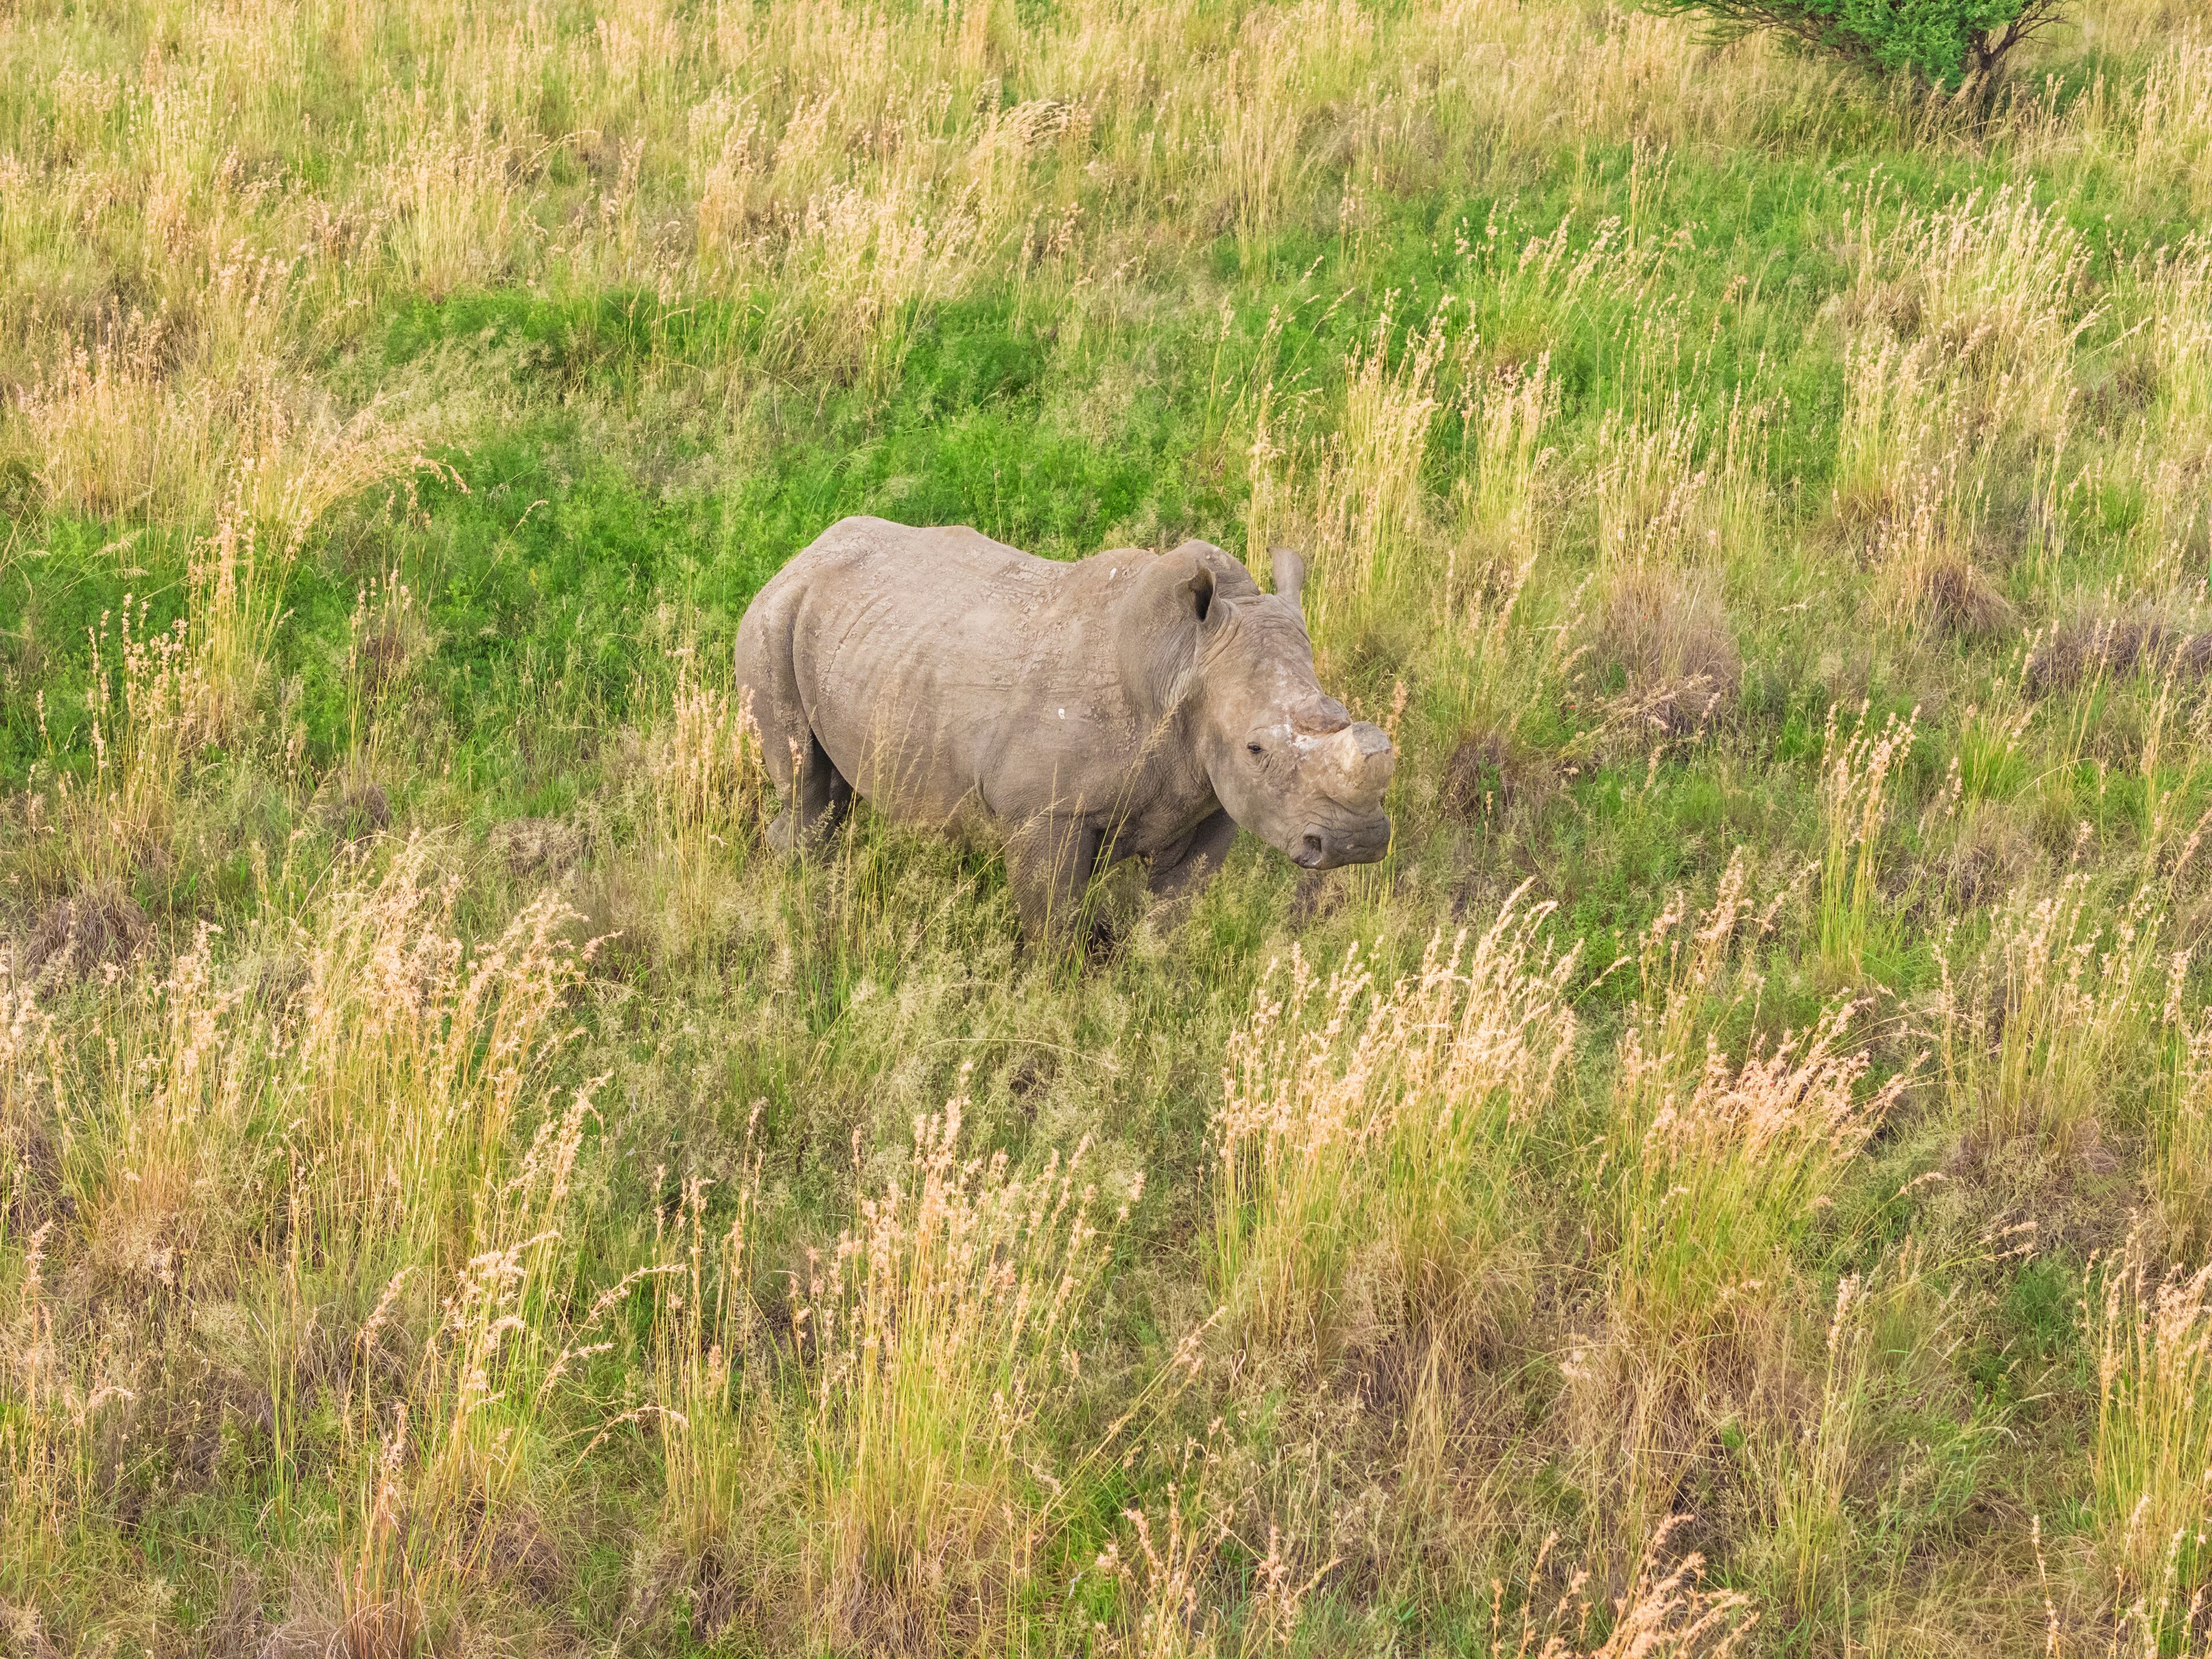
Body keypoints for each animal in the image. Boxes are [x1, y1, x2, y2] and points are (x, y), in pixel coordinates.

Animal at [733, 517, 1395, 937]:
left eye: (1342, 716)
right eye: (1256, 748)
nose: (1356, 841)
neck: (1183, 662)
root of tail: (805, 552)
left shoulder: (1213, 802)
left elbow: (1172, 915)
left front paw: (1154, 982)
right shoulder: (1044, 811)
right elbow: (1054, 926)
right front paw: (1057, 1001)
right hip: (771, 616)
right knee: (807, 788)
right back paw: (803, 898)